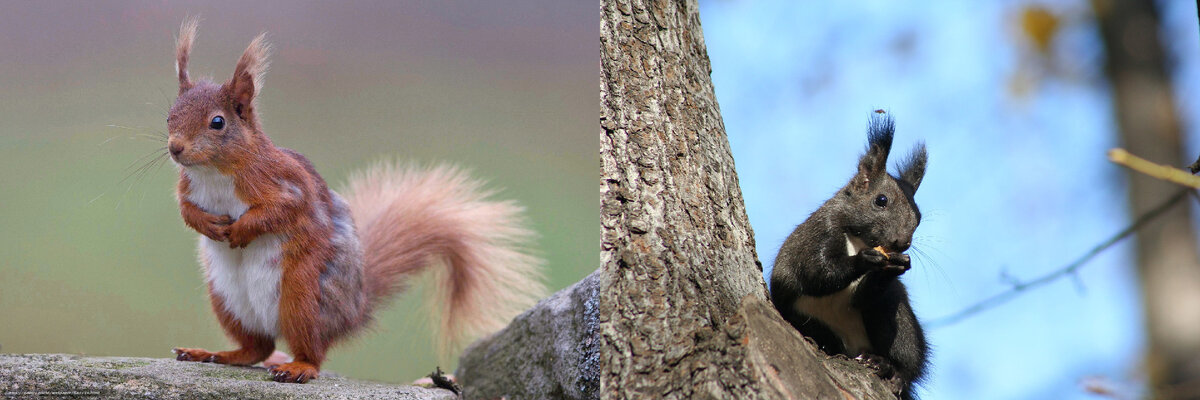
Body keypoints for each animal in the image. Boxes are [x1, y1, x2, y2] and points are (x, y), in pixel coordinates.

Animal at [164, 19, 544, 384]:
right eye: (170, 115)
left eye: (218, 122)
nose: (175, 148)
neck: (215, 172)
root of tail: (350, 314)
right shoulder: (188, 188)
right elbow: (186, 210)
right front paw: (208, 224)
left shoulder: (287, 184)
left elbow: (280, 210)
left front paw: (242, 229)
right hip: (227, 300)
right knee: (257, 348)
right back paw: (214, 354)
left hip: (301, 296)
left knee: (310, 351)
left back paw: (298, 367)